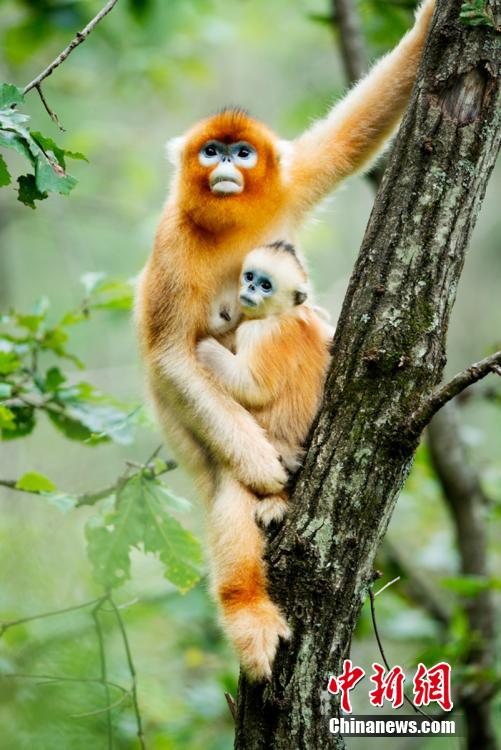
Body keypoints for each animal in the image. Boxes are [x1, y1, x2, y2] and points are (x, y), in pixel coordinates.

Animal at [136, 0, 434, 680]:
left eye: (243, 152)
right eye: (211, 150)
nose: (224, 166)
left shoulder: (290, 183)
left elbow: (349, 139)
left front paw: (437, 21)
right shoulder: (170, 244)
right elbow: (171, 355)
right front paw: (264, 471)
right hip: (197, 443)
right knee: (226, 490)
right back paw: (250, 599)